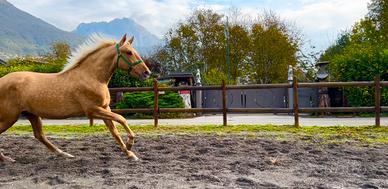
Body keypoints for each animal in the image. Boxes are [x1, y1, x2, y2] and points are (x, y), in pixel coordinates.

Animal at [0, 33, 151, 161]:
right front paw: (130, 143)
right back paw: (6, 159)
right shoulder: (93, 110)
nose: (147, 73)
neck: (92, 77)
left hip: (31, 114)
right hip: (10, 117)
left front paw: (130, 154)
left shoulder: (105, 108)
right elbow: (122, 119)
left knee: (40, 136)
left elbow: (115, 132)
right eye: (129, 52)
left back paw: (64, 154)